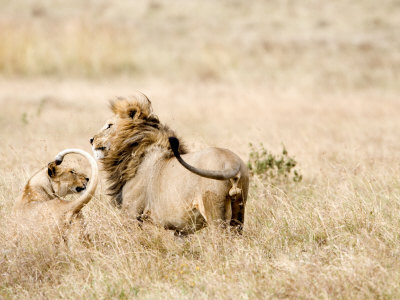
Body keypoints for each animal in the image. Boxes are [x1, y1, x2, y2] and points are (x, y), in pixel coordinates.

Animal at [91, 94, 248, 234]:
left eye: (109, 125)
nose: (91, 139)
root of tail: (232, 163)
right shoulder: (180, 230)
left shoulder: (131, 213)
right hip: (239, 212)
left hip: (215, 213)